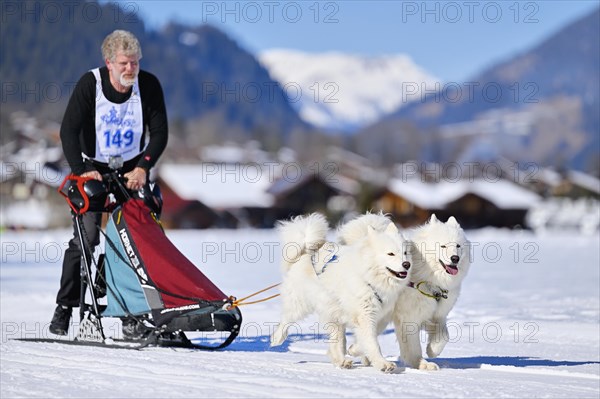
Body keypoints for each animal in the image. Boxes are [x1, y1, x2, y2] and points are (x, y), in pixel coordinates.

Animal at [272, 214, 412, 374]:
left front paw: (355, 350)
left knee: (335, 343)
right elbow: (372, 342)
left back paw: (342, 361)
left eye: (405, 253)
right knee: (286, 319)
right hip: (300, 305)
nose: (407, 264)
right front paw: (383, 364)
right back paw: (277, 338)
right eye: (391, 253)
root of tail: (307, 250)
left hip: (334, 313)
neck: (369, 279)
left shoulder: (382, 316)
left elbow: (369, 337)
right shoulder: (364, 315)